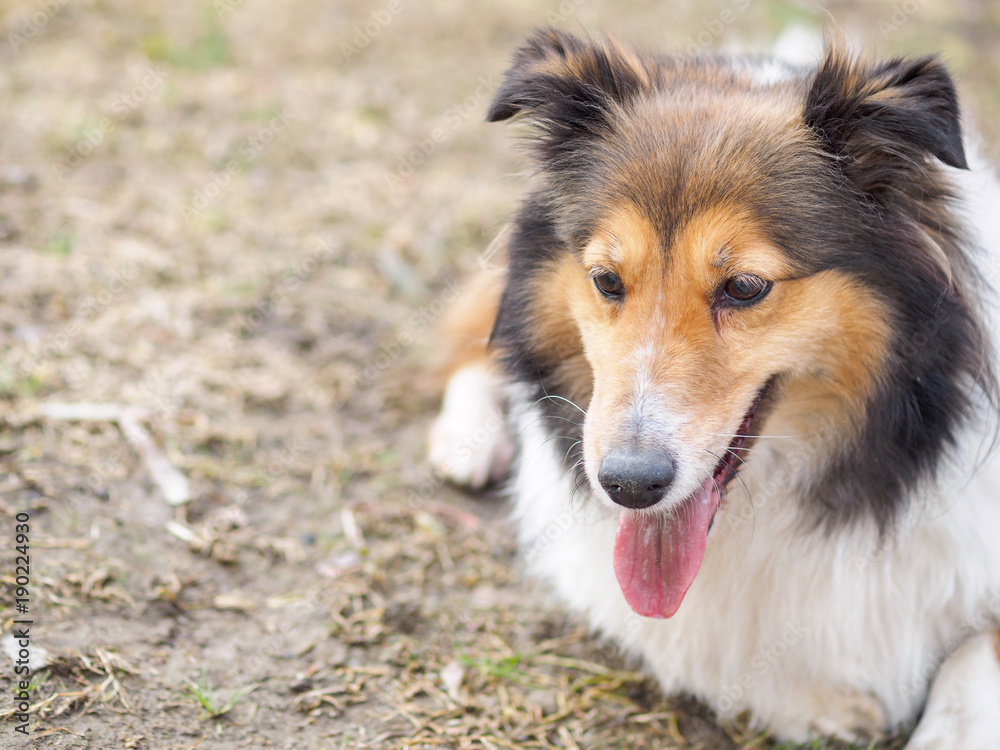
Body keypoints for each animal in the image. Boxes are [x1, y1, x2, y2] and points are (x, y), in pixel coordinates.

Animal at [426, 27, 1000, 748]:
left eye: (745, 287)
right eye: (606, 280)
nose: (628, 486)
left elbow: (972, 657)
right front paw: (828, 700)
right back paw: (468, 440)